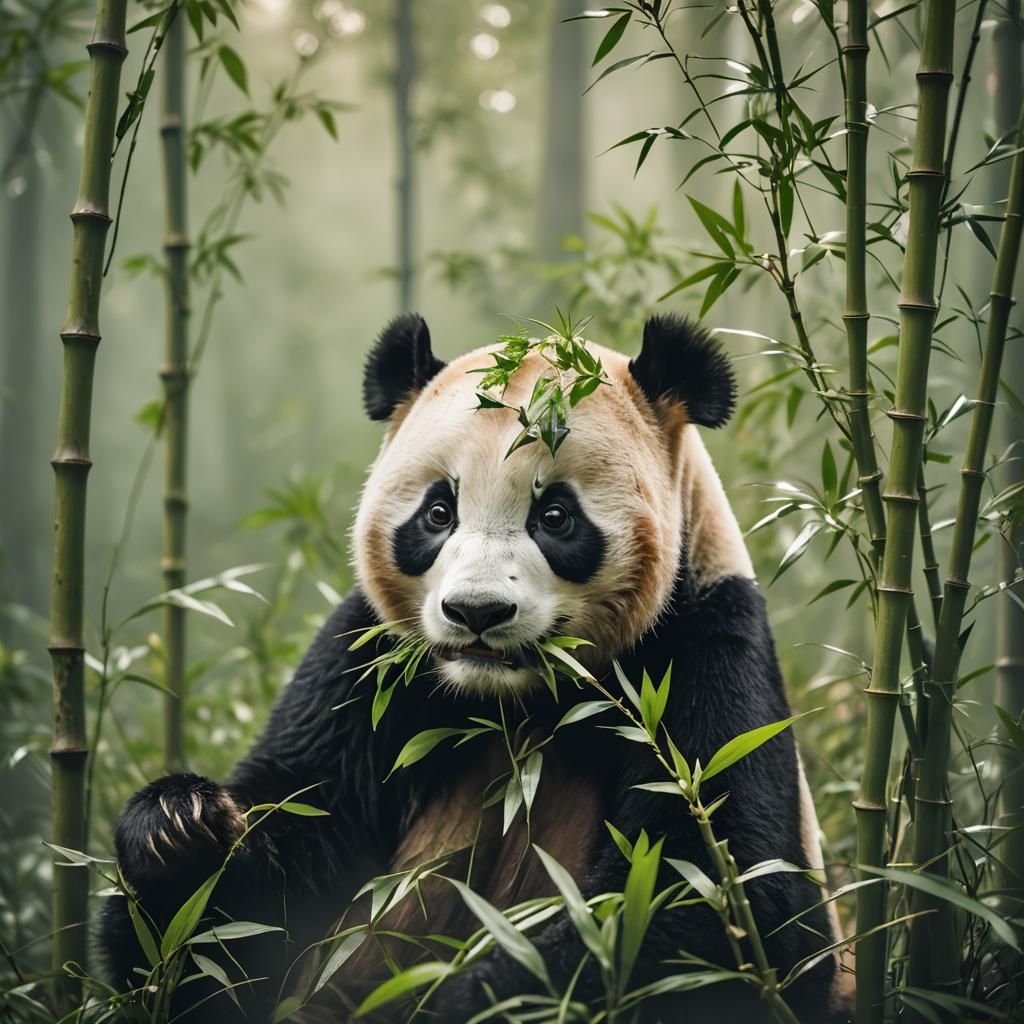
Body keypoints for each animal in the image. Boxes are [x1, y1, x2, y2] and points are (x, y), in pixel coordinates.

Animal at [99, 313, 850, 1023]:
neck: (512, 700)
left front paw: (484, 997)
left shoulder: (702, 649)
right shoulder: (370, 665)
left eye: (556, 515)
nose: (476, 612)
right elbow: (279, 864)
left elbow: (715, 900)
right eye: (438, 512)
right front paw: (179, 830)